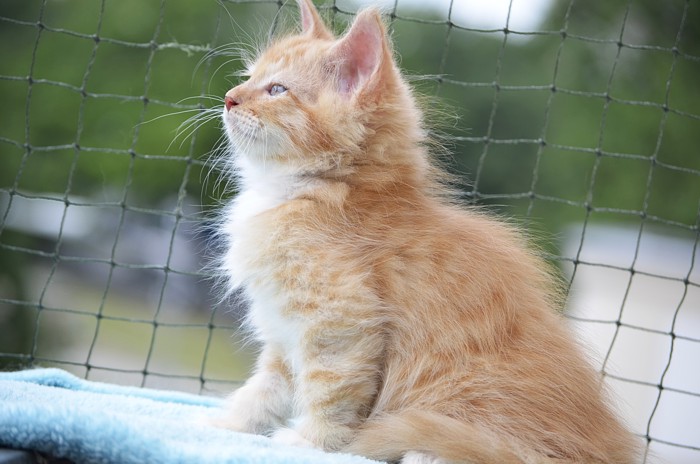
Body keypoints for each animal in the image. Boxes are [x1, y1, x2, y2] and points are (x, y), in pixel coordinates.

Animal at [214, 0, 640, 462]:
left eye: (277, 90)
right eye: (248, 77)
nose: (229, 98)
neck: (320, 191)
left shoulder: (343, 321)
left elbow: (331, 389)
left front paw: (312, 440)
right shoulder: (283, 333)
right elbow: (266, 388)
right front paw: (229, 422)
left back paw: (424, 452)